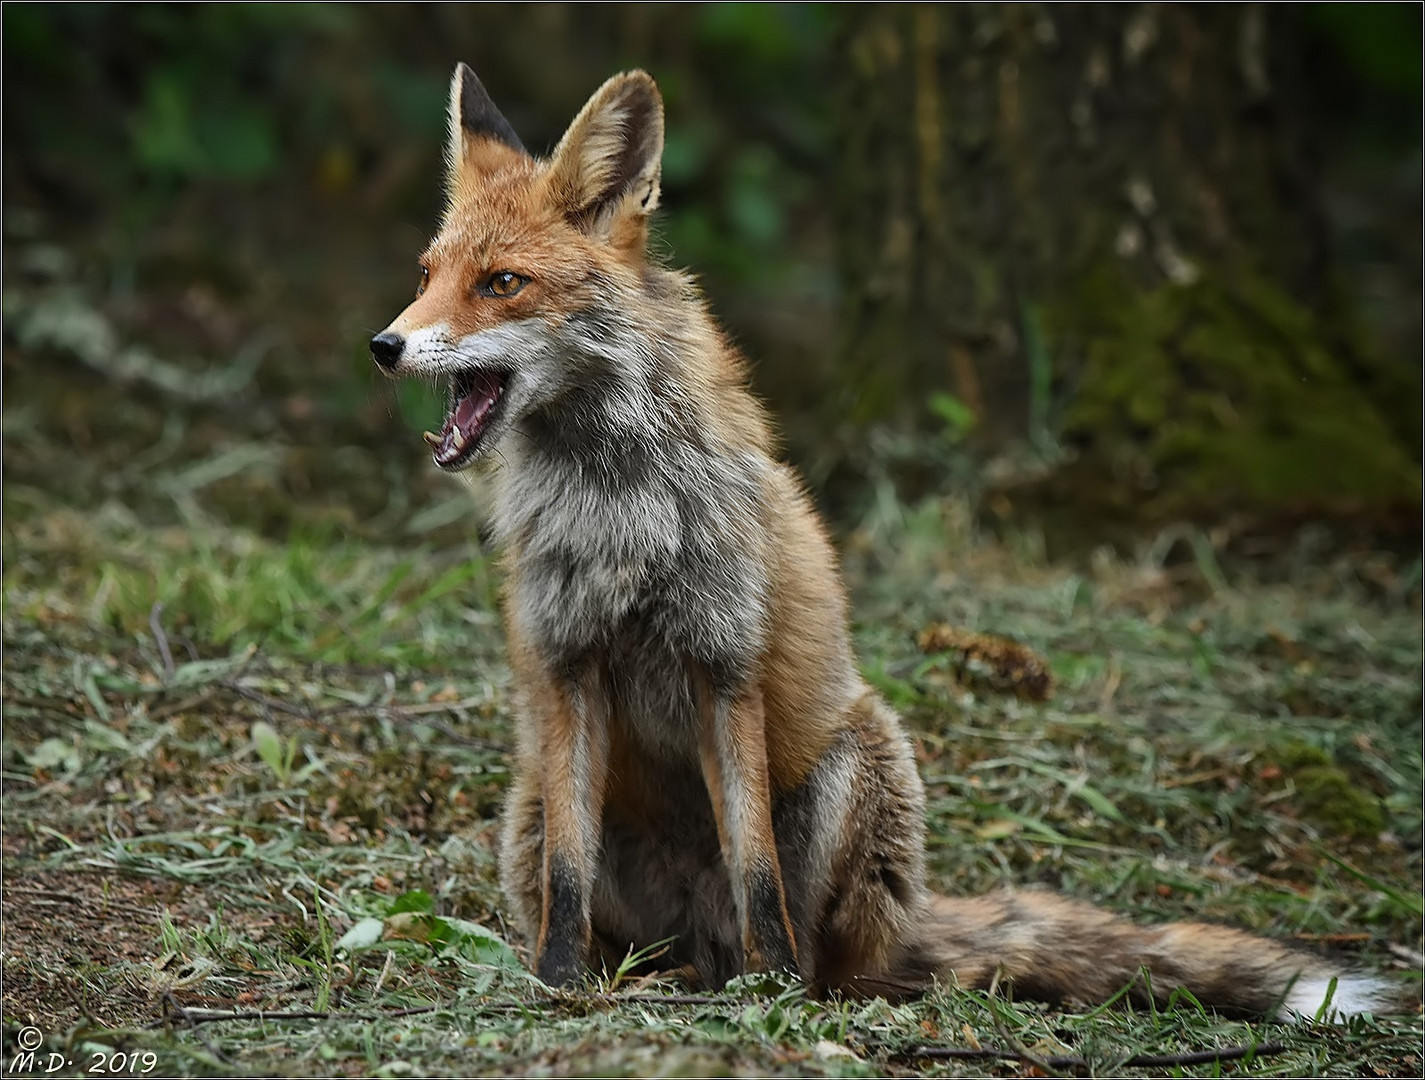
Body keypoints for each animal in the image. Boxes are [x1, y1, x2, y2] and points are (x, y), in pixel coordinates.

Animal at [373, 65, 1396, 1025]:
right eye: (424, 275)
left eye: (502, 283)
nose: (384, 345)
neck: (615, 508)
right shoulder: (566, 667)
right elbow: (570, 877)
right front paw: (556, 985)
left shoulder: (723, 663)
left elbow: (755, 867)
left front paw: (773, 995)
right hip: (531, 801)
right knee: (629, 913)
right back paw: (657, 977)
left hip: (862, 757)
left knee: (826, 955)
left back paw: (780, 981)